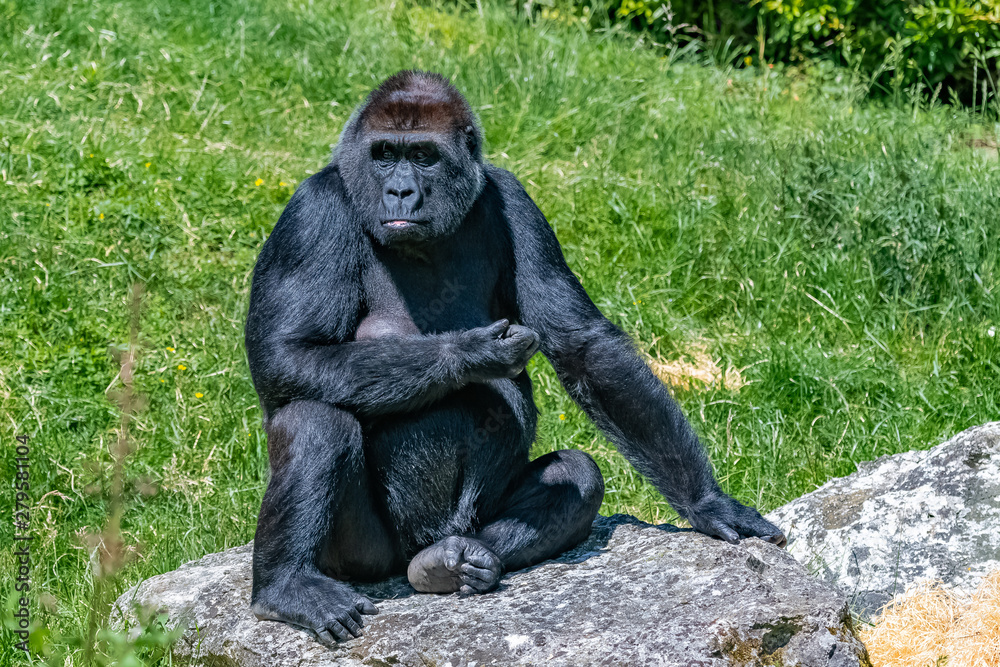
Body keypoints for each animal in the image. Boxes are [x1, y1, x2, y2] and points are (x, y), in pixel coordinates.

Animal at [246, 70, 784, 644]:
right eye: (385, 154)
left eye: (424, 156)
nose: (400, 191)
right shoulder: (311, 212)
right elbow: (287, 354)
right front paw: (469, 353)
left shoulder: (516, 199)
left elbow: (583, 345)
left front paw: (707, 504)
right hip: (363, 562)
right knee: (315, 419)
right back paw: (286, 586)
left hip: (465, 524)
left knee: (575, 475)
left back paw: (458, 561)